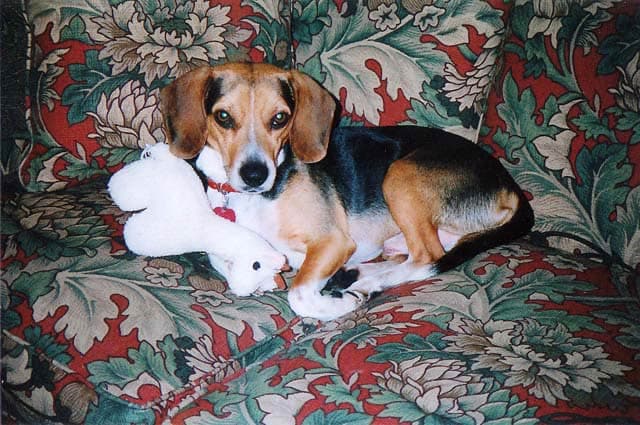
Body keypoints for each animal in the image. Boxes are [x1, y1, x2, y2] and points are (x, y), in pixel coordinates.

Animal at [161, 62, 536, 318]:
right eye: (223, 117)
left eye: (280, 118)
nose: (255, 175)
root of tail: (510, 185)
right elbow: (230, 266)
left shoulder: (333, 241)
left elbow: (298, 294)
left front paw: (338, 306)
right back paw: (358, 274)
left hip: (400, 175)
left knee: (428, 257)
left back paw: (367, 284)